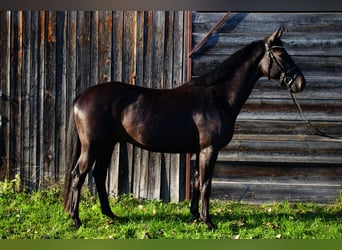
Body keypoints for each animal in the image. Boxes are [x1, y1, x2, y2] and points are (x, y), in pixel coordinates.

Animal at [63, 26, 304, 229]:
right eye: (280, 55)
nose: (301, 83)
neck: (218, 97)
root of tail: (81, 96)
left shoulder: (199, 151)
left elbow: (196, 182)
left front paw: (195, 216)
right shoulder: (209, 149)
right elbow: (206, 184)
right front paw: (208, 222)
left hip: (107, 145)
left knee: (98, 175)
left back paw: (110, 215)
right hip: (93, 146)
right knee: (78, 175)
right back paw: (76, 219)